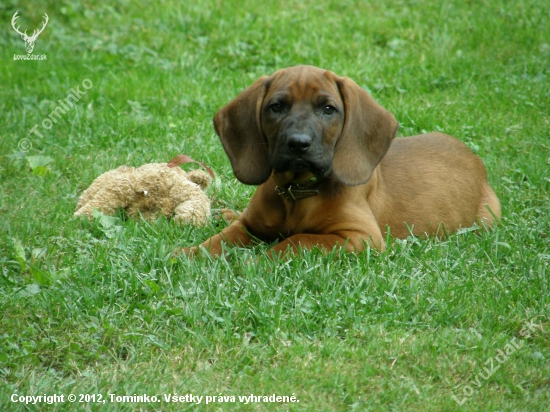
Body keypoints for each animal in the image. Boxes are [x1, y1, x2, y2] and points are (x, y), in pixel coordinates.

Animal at [179, 65, 502, 258]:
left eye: (328, 109)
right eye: (276, 107)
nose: (298, 144)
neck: (297, 193)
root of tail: (474, 158)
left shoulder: (361, 237)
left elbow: (297, 240)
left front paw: (254, 262)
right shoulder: (250, 225)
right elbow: (221, 238)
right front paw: (190, 253)